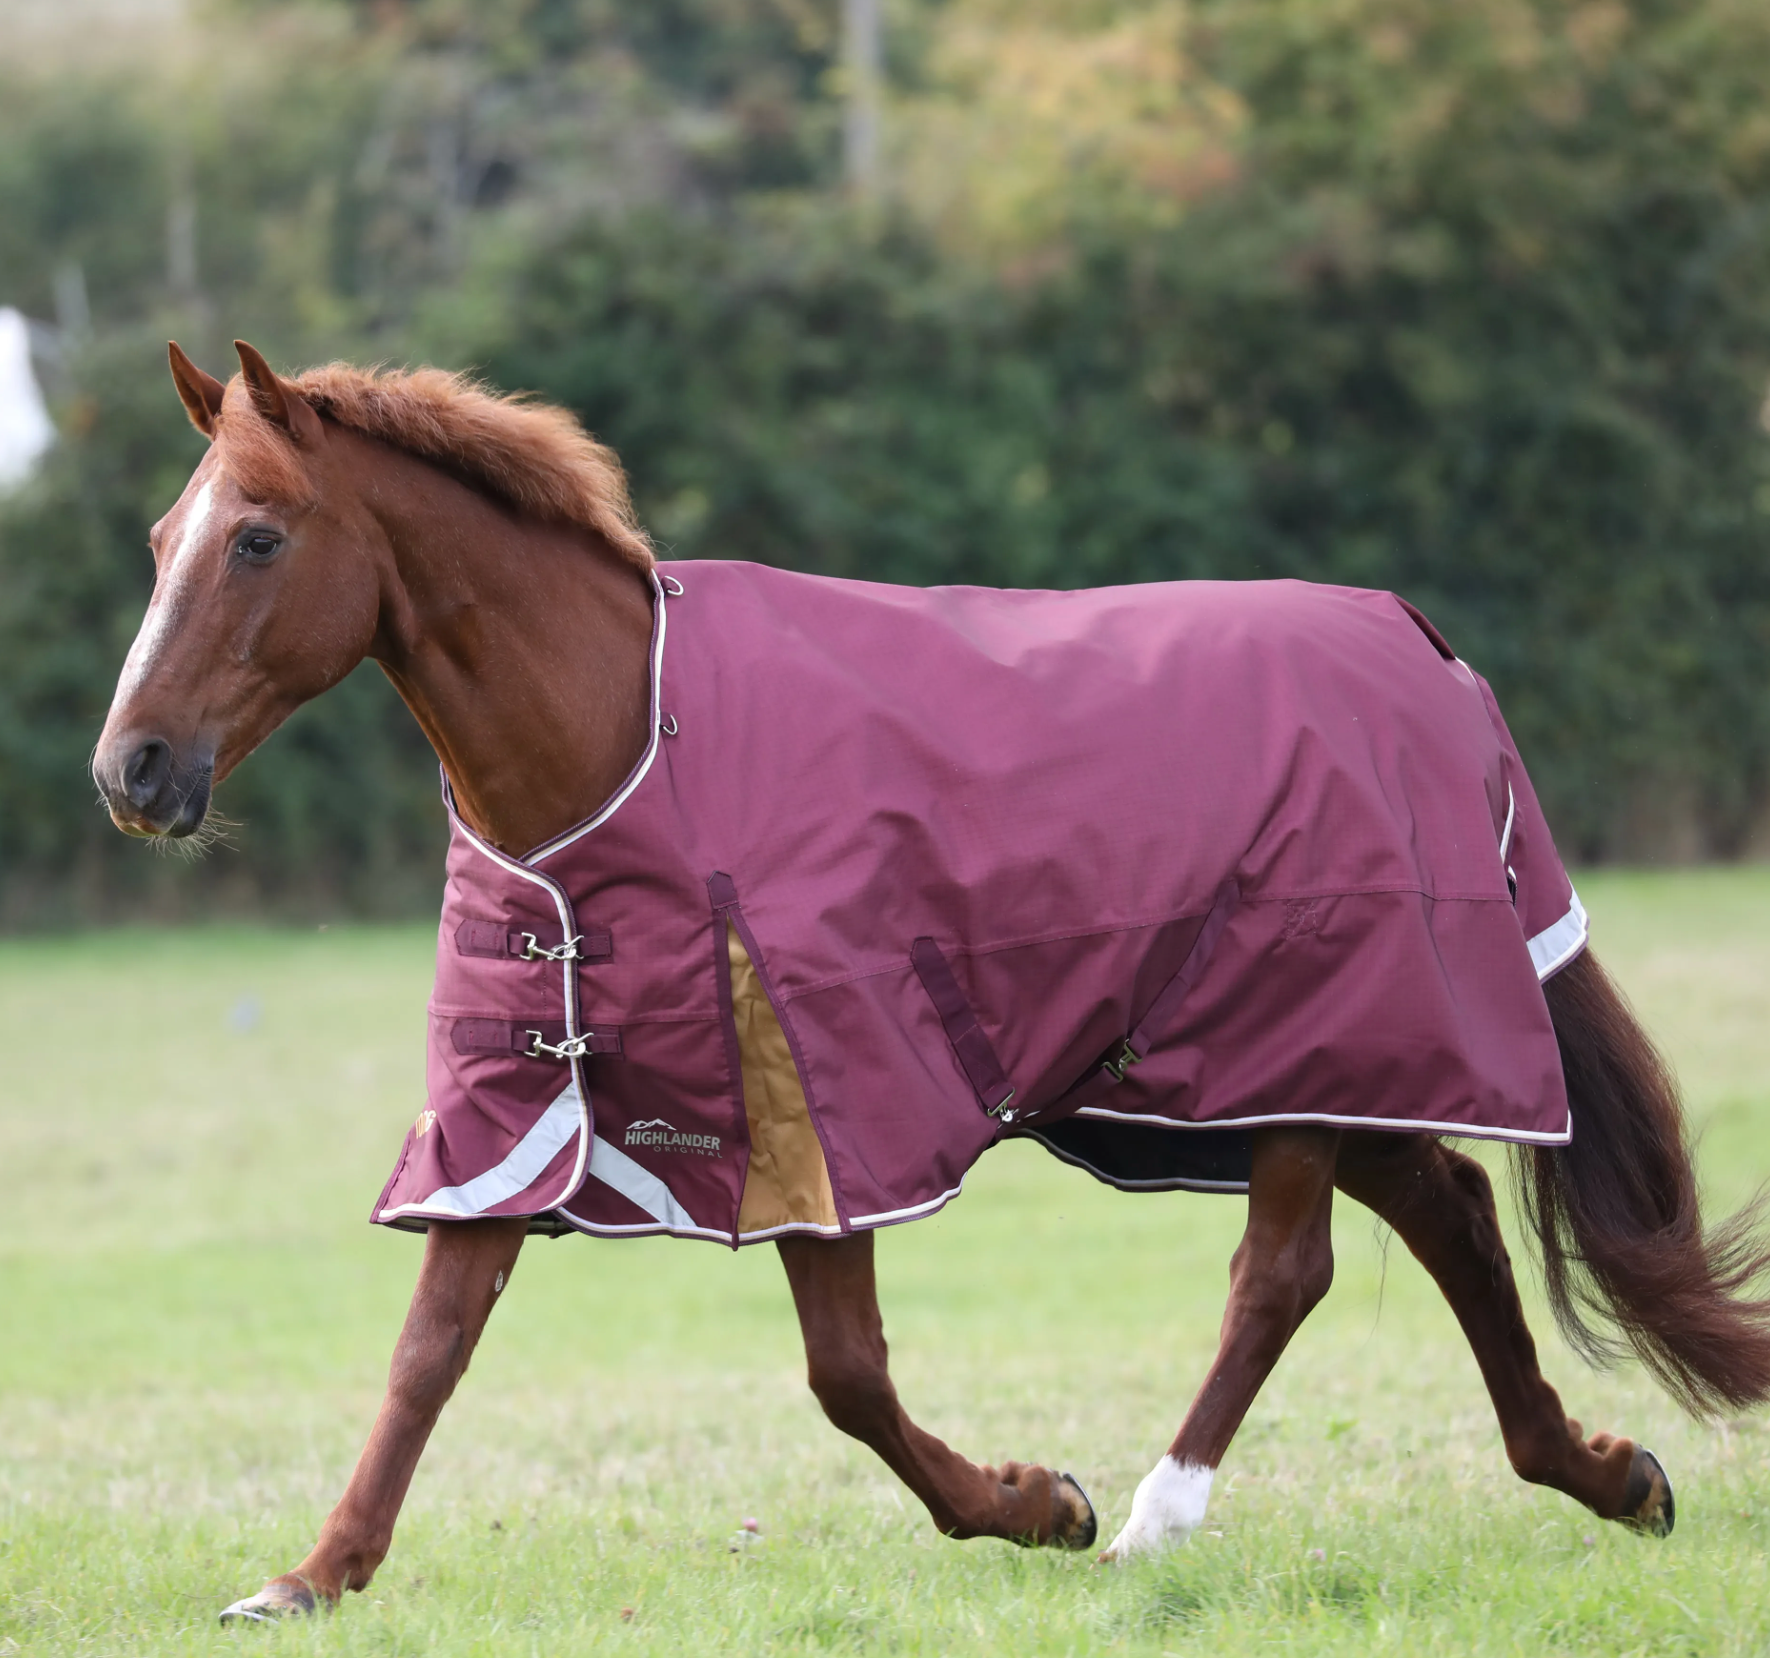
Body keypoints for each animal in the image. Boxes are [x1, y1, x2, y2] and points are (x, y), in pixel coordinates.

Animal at [92, 340, 1770, 1625]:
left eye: (259, 536)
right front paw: (310, 1577)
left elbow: (845, 1376)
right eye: (166, 538)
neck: (627, 748)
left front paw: (1043, 1502)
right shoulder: (524, 1105)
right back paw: (1606, 1471)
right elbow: (430, 1347)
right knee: (1452, 1213)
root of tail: (1427, 658)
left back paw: (1157, 1515)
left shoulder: (819, 1098)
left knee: (1283, 1270)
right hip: (1308, 1059)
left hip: (1295, 1034)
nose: (134, 770)